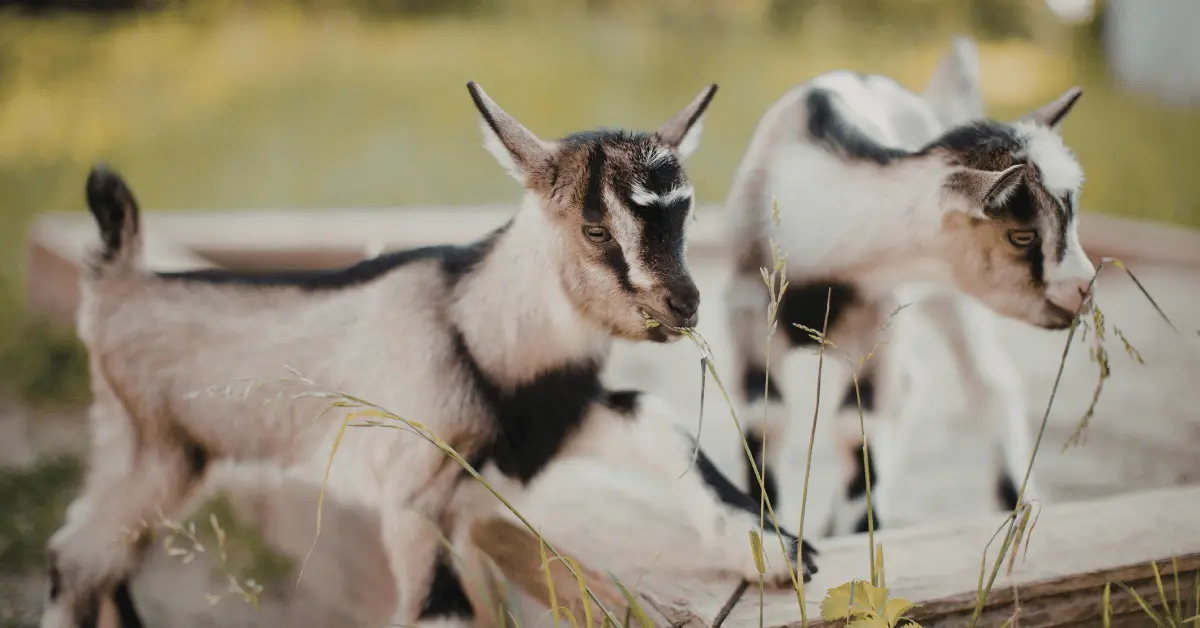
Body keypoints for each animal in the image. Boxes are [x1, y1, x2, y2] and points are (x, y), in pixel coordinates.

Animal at [43, 80, 814, 628]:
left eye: (685, 217)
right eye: (596, 229)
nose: (685, 305)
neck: (476, 325)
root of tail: (118, 278)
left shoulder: (555, 425)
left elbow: (662, 421)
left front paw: (774, 550)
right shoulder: (413, 498)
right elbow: (441, 611)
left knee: (83, 556)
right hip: (158, 454)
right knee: (74, 558)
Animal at [721, 37, 1096, 537]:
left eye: (1071, 217)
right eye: (1022, 236)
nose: (1084, 288)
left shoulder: (879, 324)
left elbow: (856, 430)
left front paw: (860, 535)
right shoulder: (745, 317)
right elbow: (768, 421)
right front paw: (770, 531)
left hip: (949, 298)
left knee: (987, 384)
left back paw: (1017, 505)